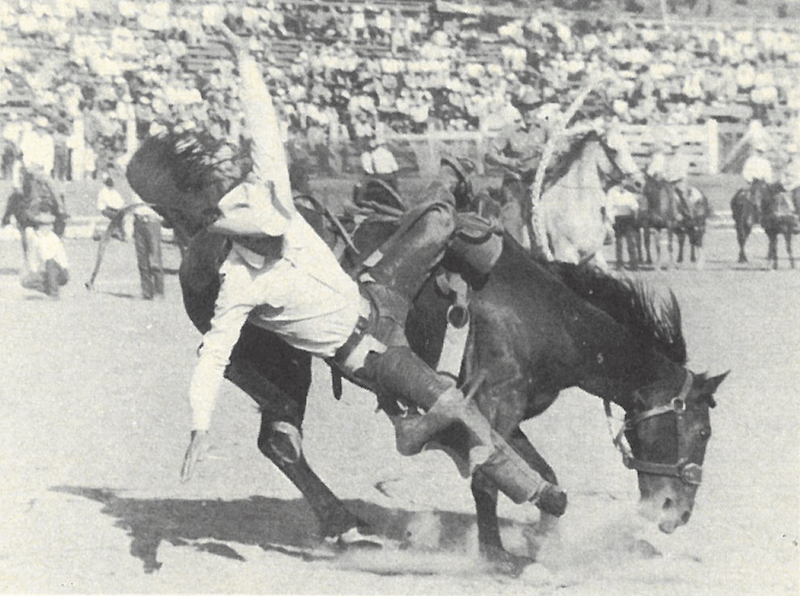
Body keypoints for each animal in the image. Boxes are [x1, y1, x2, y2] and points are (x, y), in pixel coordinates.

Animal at [127, 131, 727, 572]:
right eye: (699, 430)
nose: (676, 514)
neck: (545, 316)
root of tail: (204, 229)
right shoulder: (493, 404)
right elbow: (489, 478)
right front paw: (496, 555)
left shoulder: (499, 410)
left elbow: (538, 472)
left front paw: (540, 539)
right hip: (271, 359)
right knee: (279, 438)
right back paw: (346, 524)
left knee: (280, 438)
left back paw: (346, 525)